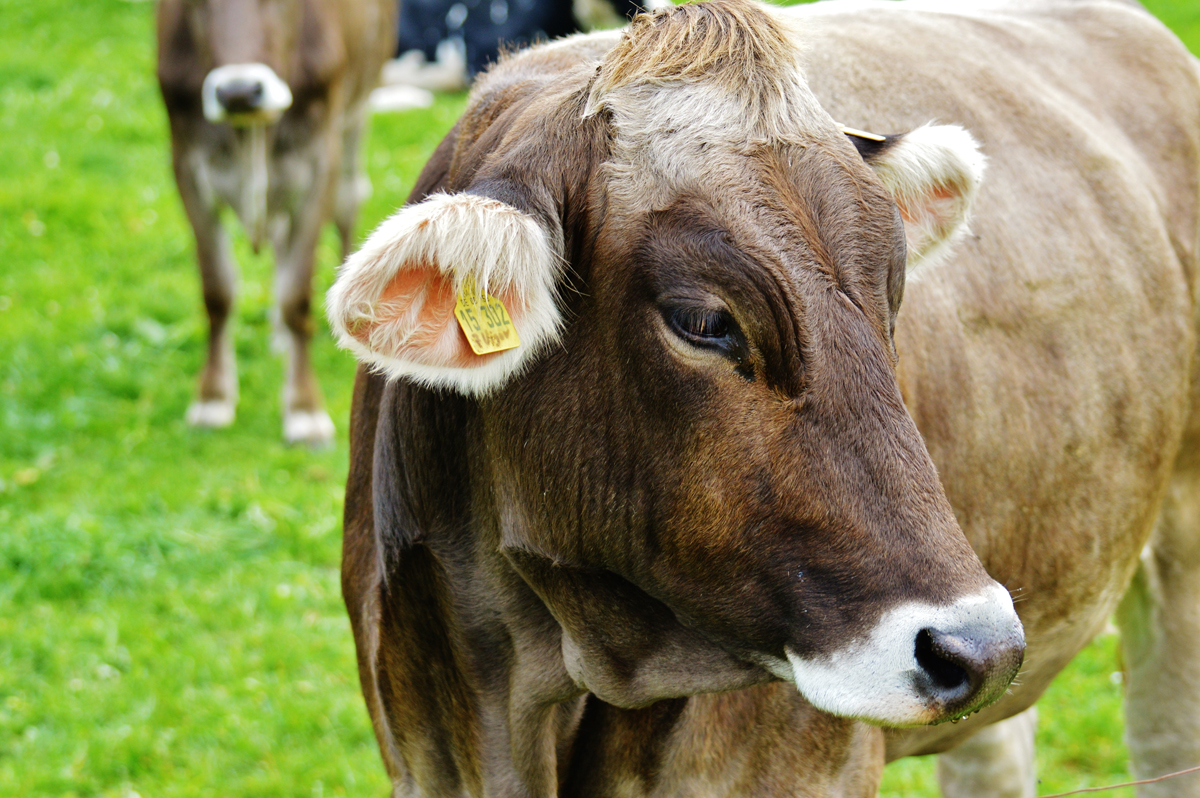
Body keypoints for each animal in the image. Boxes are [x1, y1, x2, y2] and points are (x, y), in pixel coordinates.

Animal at [156, 0, 393, 444]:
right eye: (194, 4)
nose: (237, 92)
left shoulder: (321, 158)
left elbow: (295, 295)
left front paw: (303, 409)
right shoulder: (186, 164)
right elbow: (217, 290)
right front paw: (212, 397)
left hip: (360, 108)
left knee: (350, 199)